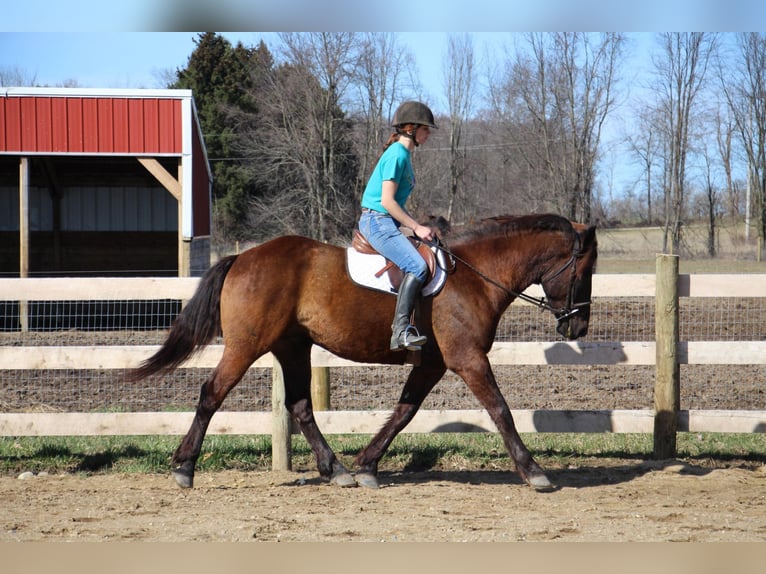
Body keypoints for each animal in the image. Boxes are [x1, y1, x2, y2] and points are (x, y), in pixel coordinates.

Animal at [129, 214, 600, 492]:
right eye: (585, 268)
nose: (577, 326)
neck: (474, 274)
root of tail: (243, 258)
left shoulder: (432, 363)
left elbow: (404, 411)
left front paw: (367, 465)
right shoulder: (467, 360)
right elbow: (501, 410)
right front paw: (534, 471)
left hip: (293, 347)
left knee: (300, 406)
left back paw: (335, 470)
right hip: (247, 346)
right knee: (212, 393)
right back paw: (184, 468)